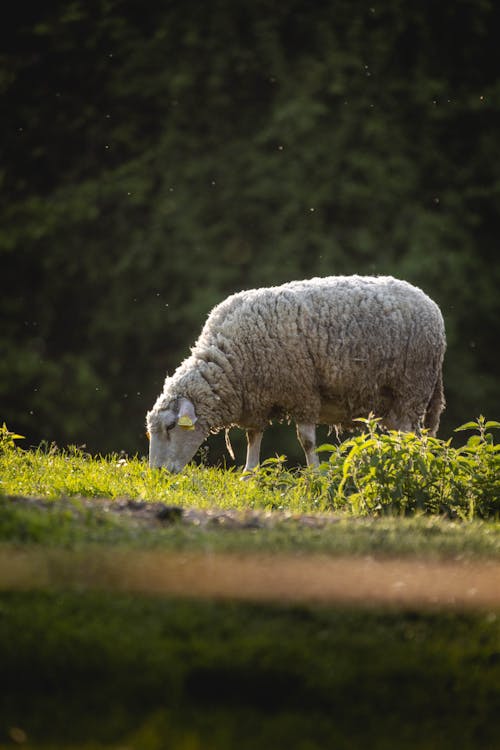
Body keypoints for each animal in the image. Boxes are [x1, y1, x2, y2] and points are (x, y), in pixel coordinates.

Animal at [145, 276, 446, 476]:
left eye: (171, 427)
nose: (157, 473)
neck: (230, 360)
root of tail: (430, 302)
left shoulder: (303, 393)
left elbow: (307, 440)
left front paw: (314, 475)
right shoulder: (257, 398)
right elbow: (253, 436)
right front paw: (249, 474)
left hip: (411, 389)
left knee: (410, 436)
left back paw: (407, 466)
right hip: (392, 401)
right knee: (404, 435)